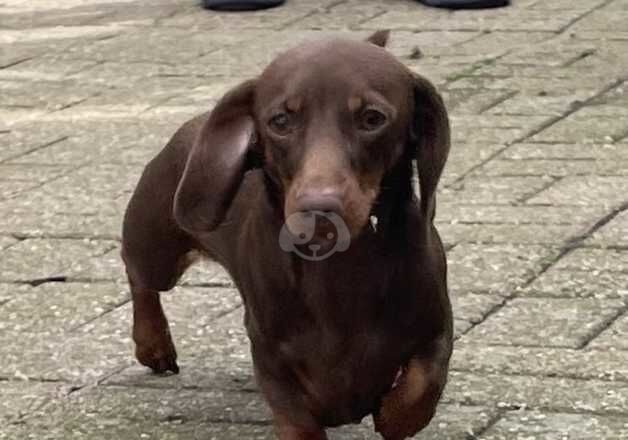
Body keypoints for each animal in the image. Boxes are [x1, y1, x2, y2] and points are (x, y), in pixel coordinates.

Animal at [120, 31, 452, 440]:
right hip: (157, 251)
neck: (340, 267)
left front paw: (391, 415)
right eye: (280, 121)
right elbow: (297, 417)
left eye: (372, 118)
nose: (318, 208)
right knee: (138, 277)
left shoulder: (436, 329)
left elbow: (420, 387)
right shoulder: (270, 356)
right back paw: (152, 343)